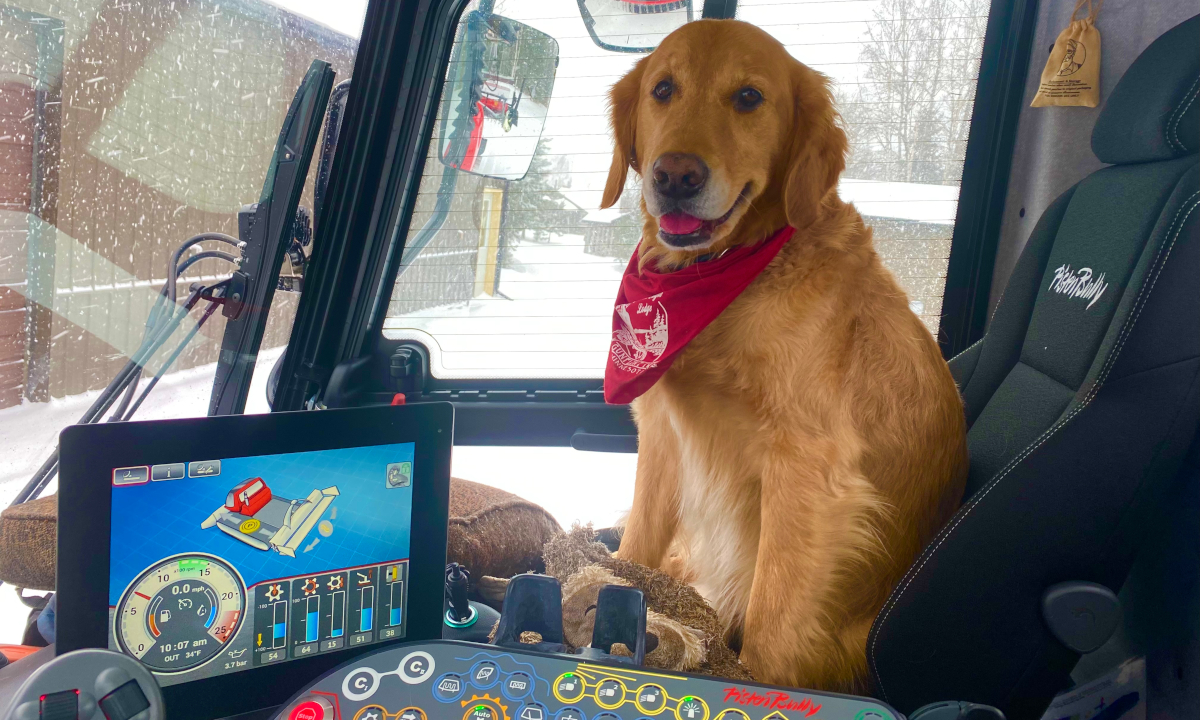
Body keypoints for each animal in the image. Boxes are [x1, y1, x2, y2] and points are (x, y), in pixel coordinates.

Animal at [604, 18, 969, 691]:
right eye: (663, 89)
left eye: (749, 97)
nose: (675, 175)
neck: (728, 273)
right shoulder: (664, 434)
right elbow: (637, 544)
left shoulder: (808, 471)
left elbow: (775, 620)